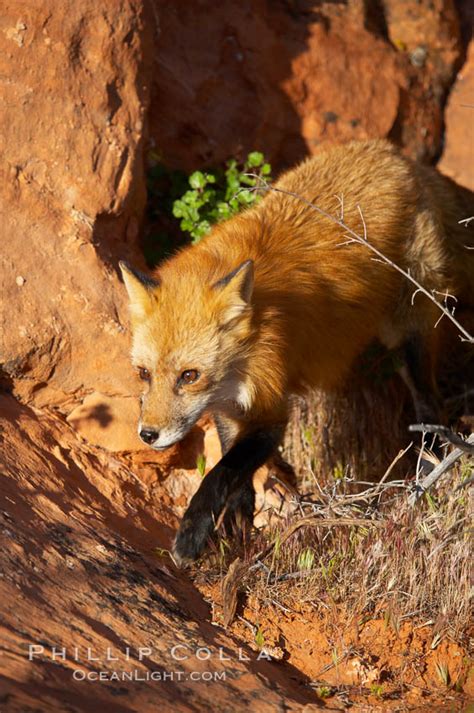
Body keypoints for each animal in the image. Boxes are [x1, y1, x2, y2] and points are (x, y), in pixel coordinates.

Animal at [119, 139, 474, 560]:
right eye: (143, 373)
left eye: (189, 376)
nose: (148, 435)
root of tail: (394, 155)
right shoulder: (232, 405)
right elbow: (234, 464)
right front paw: (238, 520)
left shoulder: (272, 406)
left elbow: (224, 470)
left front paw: (194, 530)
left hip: (407, 334)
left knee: (428, 406)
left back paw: (427, 471)